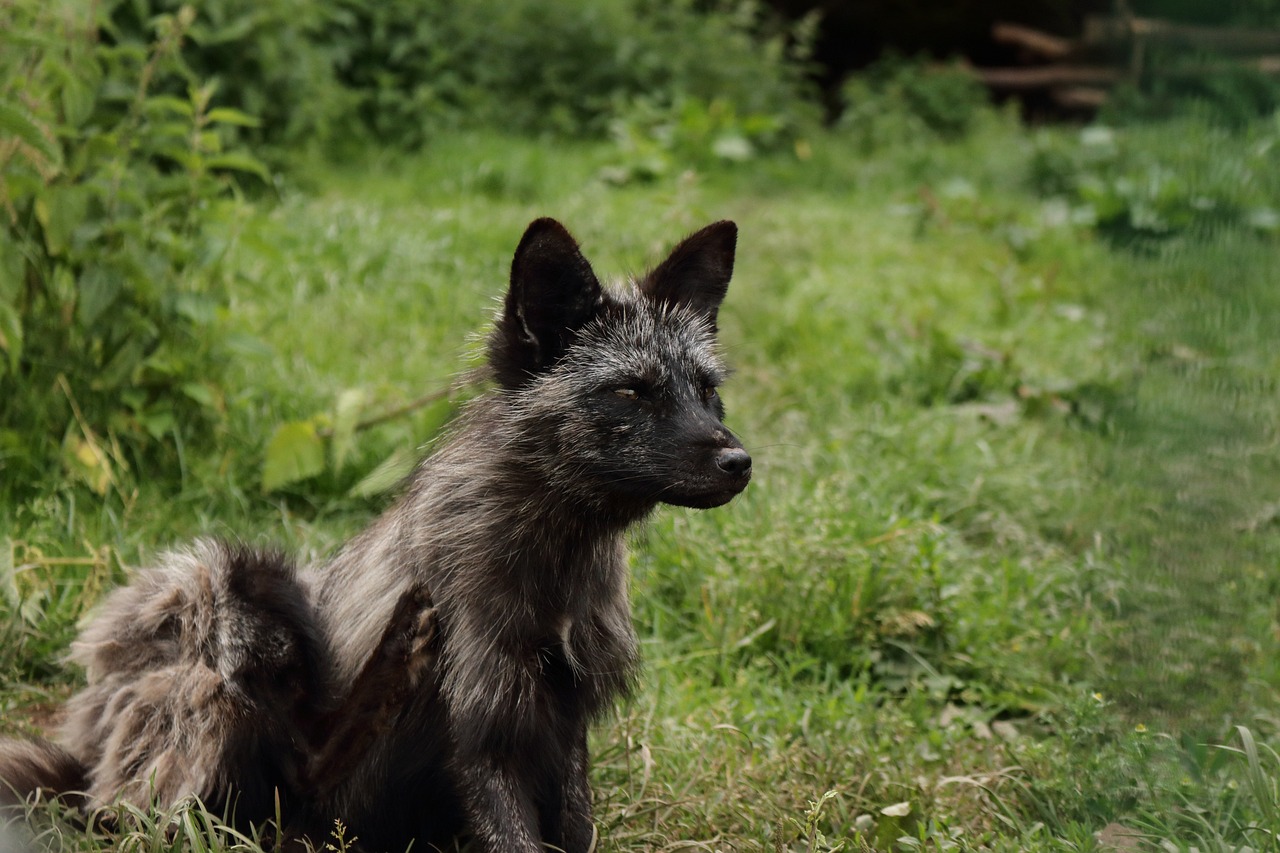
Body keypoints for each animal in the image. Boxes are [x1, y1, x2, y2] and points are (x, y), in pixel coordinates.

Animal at [0, 216, 747, 845]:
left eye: (707, 390)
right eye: (630, 392)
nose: (739, 463)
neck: (553, 575)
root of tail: (86, 770)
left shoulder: (562, 723)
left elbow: (578, 830)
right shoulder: (481, 730)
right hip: (228, 584)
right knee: (276, 794)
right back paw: (394, 653)